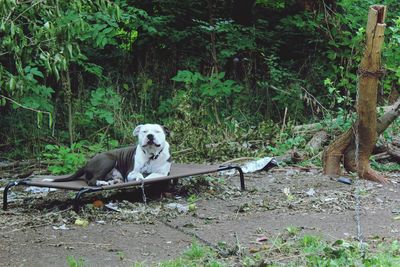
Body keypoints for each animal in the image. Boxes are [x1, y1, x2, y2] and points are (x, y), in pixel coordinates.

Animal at [43, 124, 171, 187]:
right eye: (144, 131)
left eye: (157, 131)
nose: (150, 135)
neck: (151, 154)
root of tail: (87, 162)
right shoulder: (130, 173)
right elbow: (139, 175)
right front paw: (140, 177)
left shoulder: (163, 173)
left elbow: (151, 176)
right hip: (109, 160)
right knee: (92, 181)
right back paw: (102, 183)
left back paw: (112, 182)